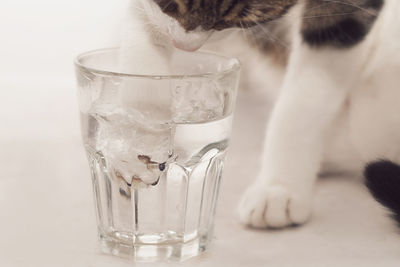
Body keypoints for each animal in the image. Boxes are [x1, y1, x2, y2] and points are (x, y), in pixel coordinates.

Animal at [123, 0, 400, 229]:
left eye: (232, 21)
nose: (184, 46)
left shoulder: (342, 18)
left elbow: (305, 97)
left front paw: (278, 188)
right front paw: (141, 138)